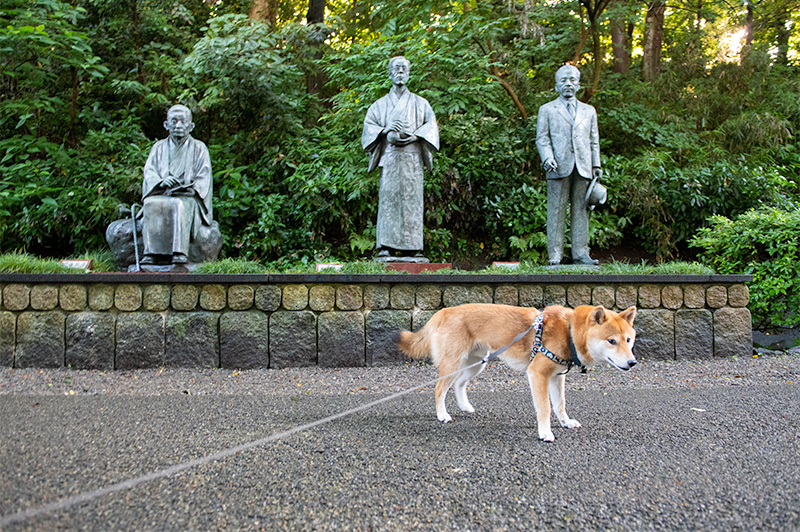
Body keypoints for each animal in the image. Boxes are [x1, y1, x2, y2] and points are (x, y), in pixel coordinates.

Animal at [398, 304, 636, 440]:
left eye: (628, 340)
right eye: (611, 341)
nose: (632, 362)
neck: (568, 330)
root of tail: (443, 311)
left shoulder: (557, 377)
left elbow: (560, 405)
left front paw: (566, 422)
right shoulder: (538, 374)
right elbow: (545, 408)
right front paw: (545, 432)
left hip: (475, 364)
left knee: (459, 384)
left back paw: (465, 407)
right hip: (453, 364)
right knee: (439, 389)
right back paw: (442, 415)